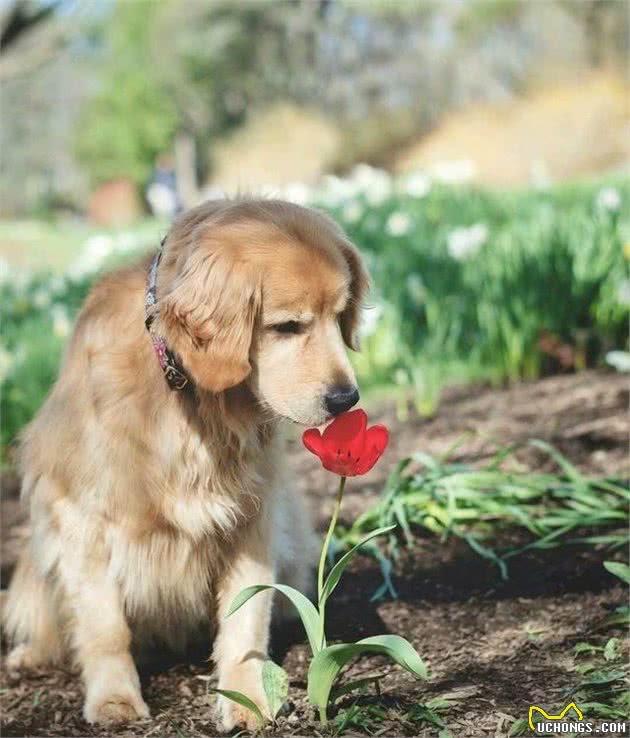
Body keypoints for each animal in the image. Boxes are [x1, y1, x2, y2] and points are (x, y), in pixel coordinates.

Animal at [3, 197, 370, 732]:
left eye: (340, 316)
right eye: (287, 326)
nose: (347, 400)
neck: (188, 396)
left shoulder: (252, 513)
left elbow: (246, 618)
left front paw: (247, 698)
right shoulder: (80, 519)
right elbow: (104, 625)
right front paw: (114, 699)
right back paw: (30, 655)